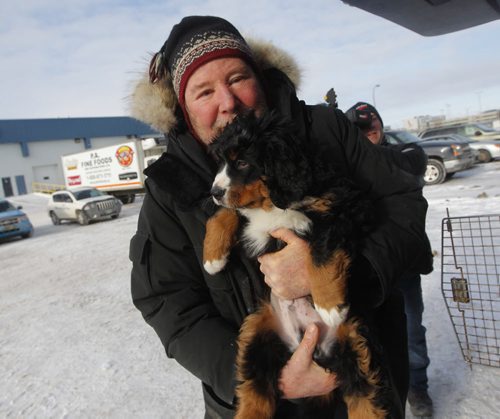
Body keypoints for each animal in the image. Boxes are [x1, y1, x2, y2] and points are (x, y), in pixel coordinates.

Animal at [202, 112, 394, 419]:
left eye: (242, 162)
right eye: (220, 163)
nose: (214, 192)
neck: (273, 202)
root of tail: (311, 349)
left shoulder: (345, 208)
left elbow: (321, 252)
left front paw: (329, 306)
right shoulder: (255, 223)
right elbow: (226, 213)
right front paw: (212, 258)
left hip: (357, 340)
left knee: (364, 395)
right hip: (258, 332)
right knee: (255, 389)